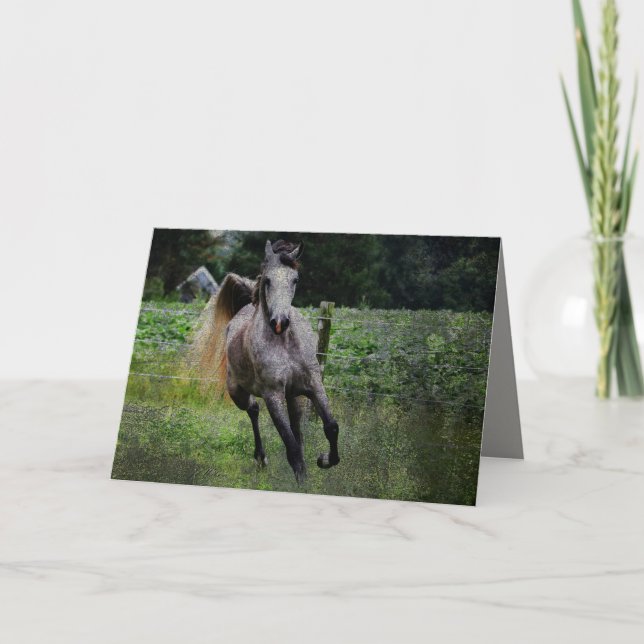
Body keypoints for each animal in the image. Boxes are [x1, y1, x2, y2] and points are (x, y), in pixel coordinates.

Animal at [190, 239, 340, 483]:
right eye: (268, 279)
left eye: (295, 279)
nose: (280, 322)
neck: (285, 344)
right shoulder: (273, 396)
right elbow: (291, 447)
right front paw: (302, 481)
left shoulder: (314, 385)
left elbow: (331, 427)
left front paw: (324, 460)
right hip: (238, 393)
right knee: (253, 409)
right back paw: (261, 459)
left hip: (294, 397)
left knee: (297, 428)